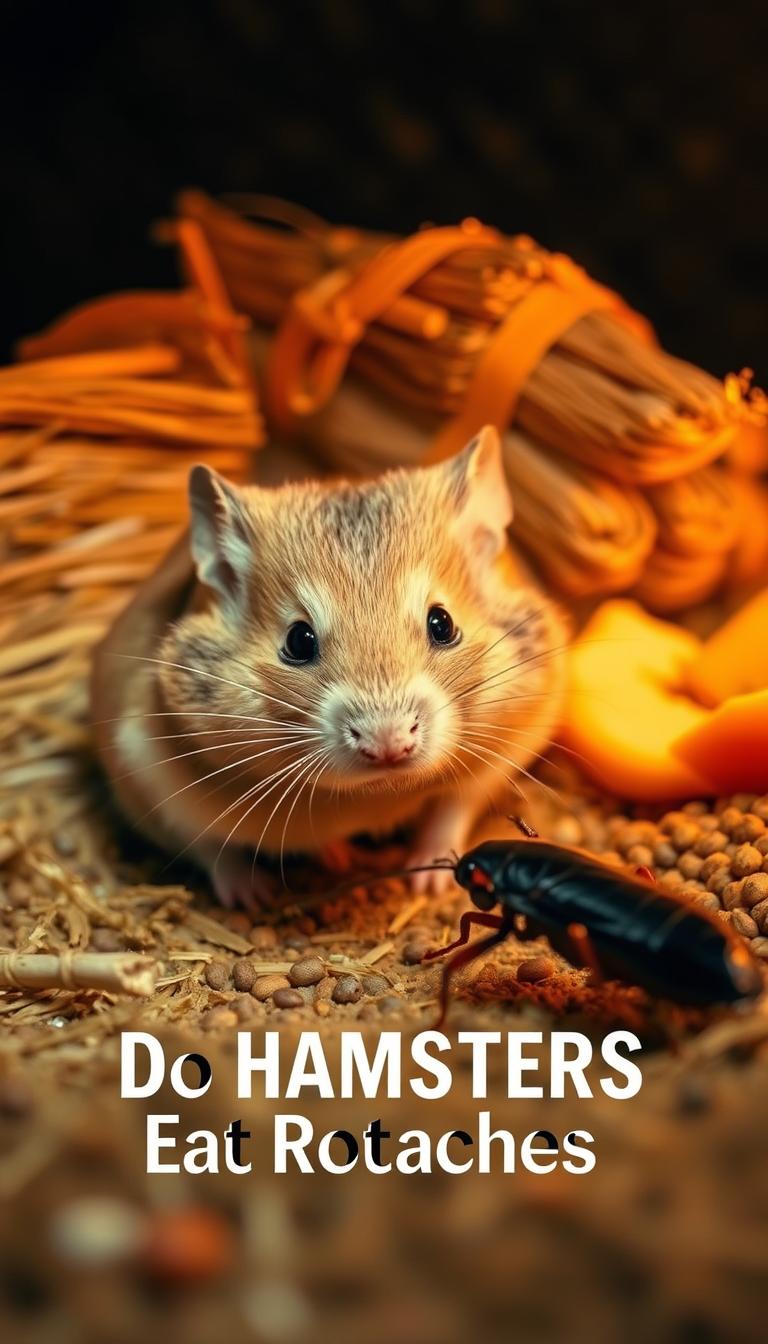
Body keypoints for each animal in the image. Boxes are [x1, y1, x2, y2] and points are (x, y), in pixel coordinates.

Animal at [91, 427, 568, 907]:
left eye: (443, 623)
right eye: (298, 641)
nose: (389, 745)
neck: (376, 792)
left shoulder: (503, 753)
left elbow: (449, 812)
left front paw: (427, 885)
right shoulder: (150, 775)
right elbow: (216, 847)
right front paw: (284, 886)